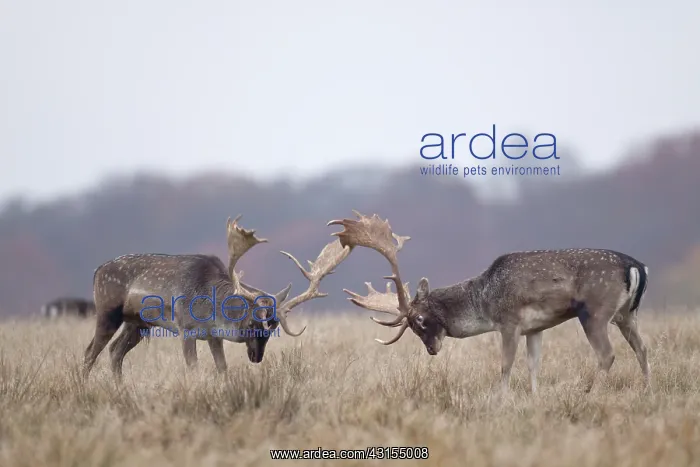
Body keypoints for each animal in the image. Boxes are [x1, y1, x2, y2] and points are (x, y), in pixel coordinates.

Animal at [83, 215, 352, 380]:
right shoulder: (185, 328)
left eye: (274, 326)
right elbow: (193, 368)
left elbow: (222, 368)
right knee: (90, 352)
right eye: (252, 322)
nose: (256, 357)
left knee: (115, 351)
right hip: (107, 311)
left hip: (137, 323)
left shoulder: (214, 336)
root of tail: (96, 272)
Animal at [327, 210, 651, 395]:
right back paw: (649, 393)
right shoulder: (536, 328)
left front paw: (501, 400)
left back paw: (592, 395)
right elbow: (534, 365)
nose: (431, 350)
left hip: (596, 311)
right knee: (642, 348)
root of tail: (636, 266)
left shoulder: (509, 322)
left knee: (607, 354)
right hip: (627, 314)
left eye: (418, 320)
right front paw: (534, 399)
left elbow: (505, 365)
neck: (483, 300)